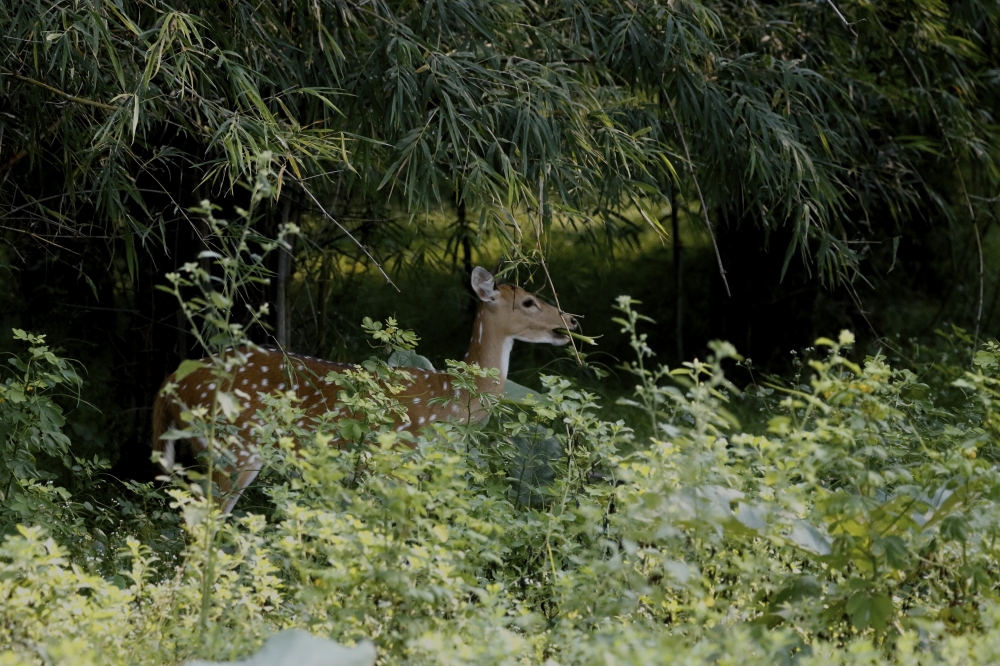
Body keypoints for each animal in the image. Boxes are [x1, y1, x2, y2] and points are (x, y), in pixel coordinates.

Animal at [152, 266, 578, 513]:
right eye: (529, 301)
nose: (571, 319)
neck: (452, 402)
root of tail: (170, 384)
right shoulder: (397, 457)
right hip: (233, 447)